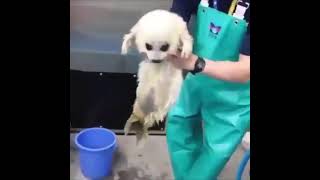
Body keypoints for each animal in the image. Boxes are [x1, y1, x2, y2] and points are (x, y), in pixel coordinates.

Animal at [122, 9, 192, 146]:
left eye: (165, 47)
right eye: (148, 46)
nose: (155, 60)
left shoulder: (181, 27)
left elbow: (187, 38)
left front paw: (186, 50)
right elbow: (132, 34)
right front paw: (125, 45)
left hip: (162, 108)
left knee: (153, 116)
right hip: (138, 103)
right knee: (137, 114)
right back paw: (131, 125)